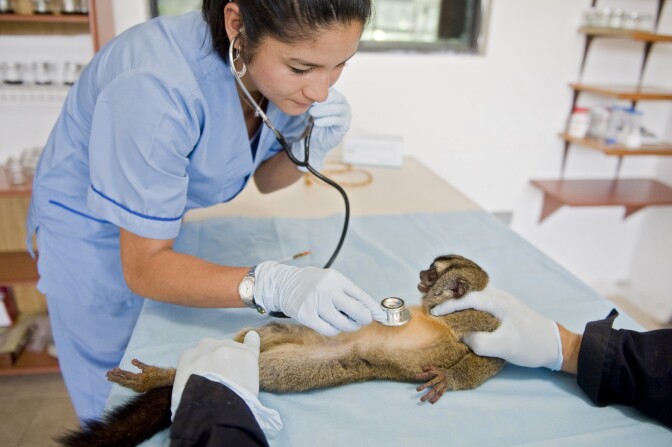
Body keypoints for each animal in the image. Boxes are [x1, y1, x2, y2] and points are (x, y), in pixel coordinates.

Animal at [57, 254, 504, 447]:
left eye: (431, 273)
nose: (420, 275)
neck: (438, 313)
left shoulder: (473, 321)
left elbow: (492, 354)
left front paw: (449, 377)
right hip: (299, 335)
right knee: (268, 331)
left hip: (305, 364)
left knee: (265, 368)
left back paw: (173, 374)